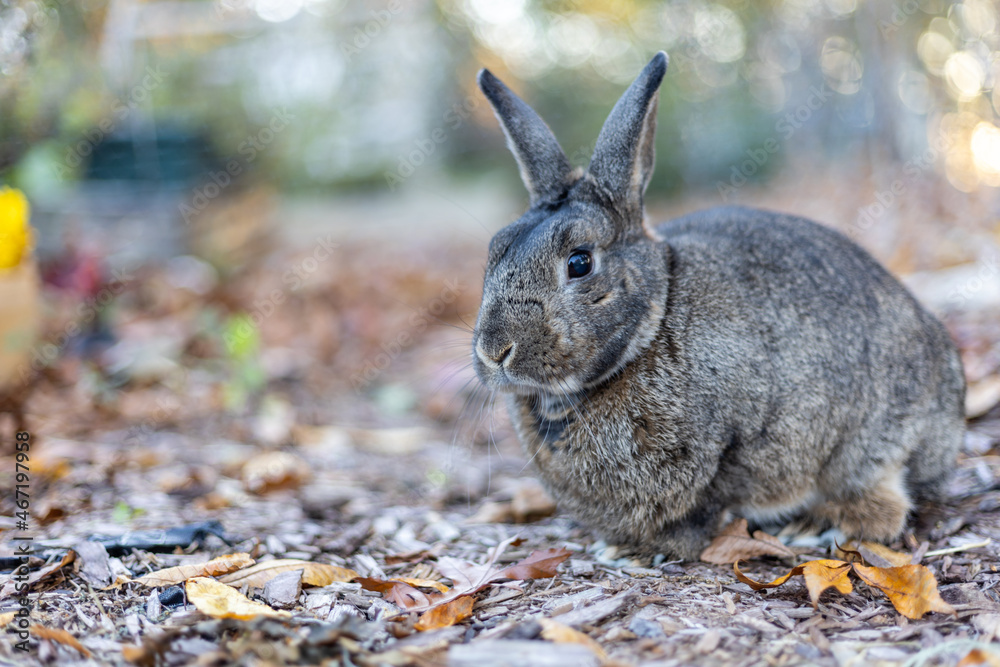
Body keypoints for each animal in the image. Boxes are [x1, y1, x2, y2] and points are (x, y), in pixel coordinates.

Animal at [470, 51, 966, 560]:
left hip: (873, 442)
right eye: (494, 250)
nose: (495, 351)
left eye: (579, 262)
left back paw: (815, 524)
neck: (652, 324)